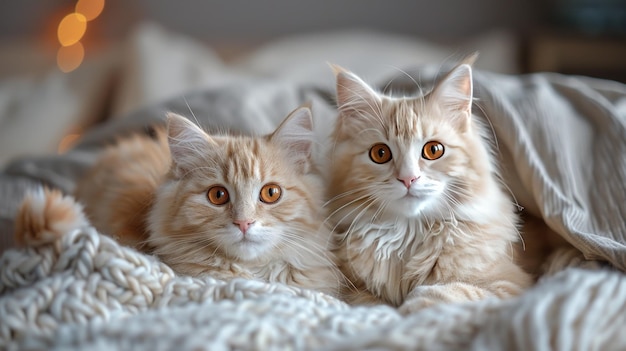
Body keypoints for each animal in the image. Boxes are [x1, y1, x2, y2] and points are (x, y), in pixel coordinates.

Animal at [324, 60, 532, 314]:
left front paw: (411, 308)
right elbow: (371, 303)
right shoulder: (349, 289)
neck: (408, 233)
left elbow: (448, 291)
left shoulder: (511, 284)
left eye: (434, 150)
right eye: (380, 153)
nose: (408, 178)